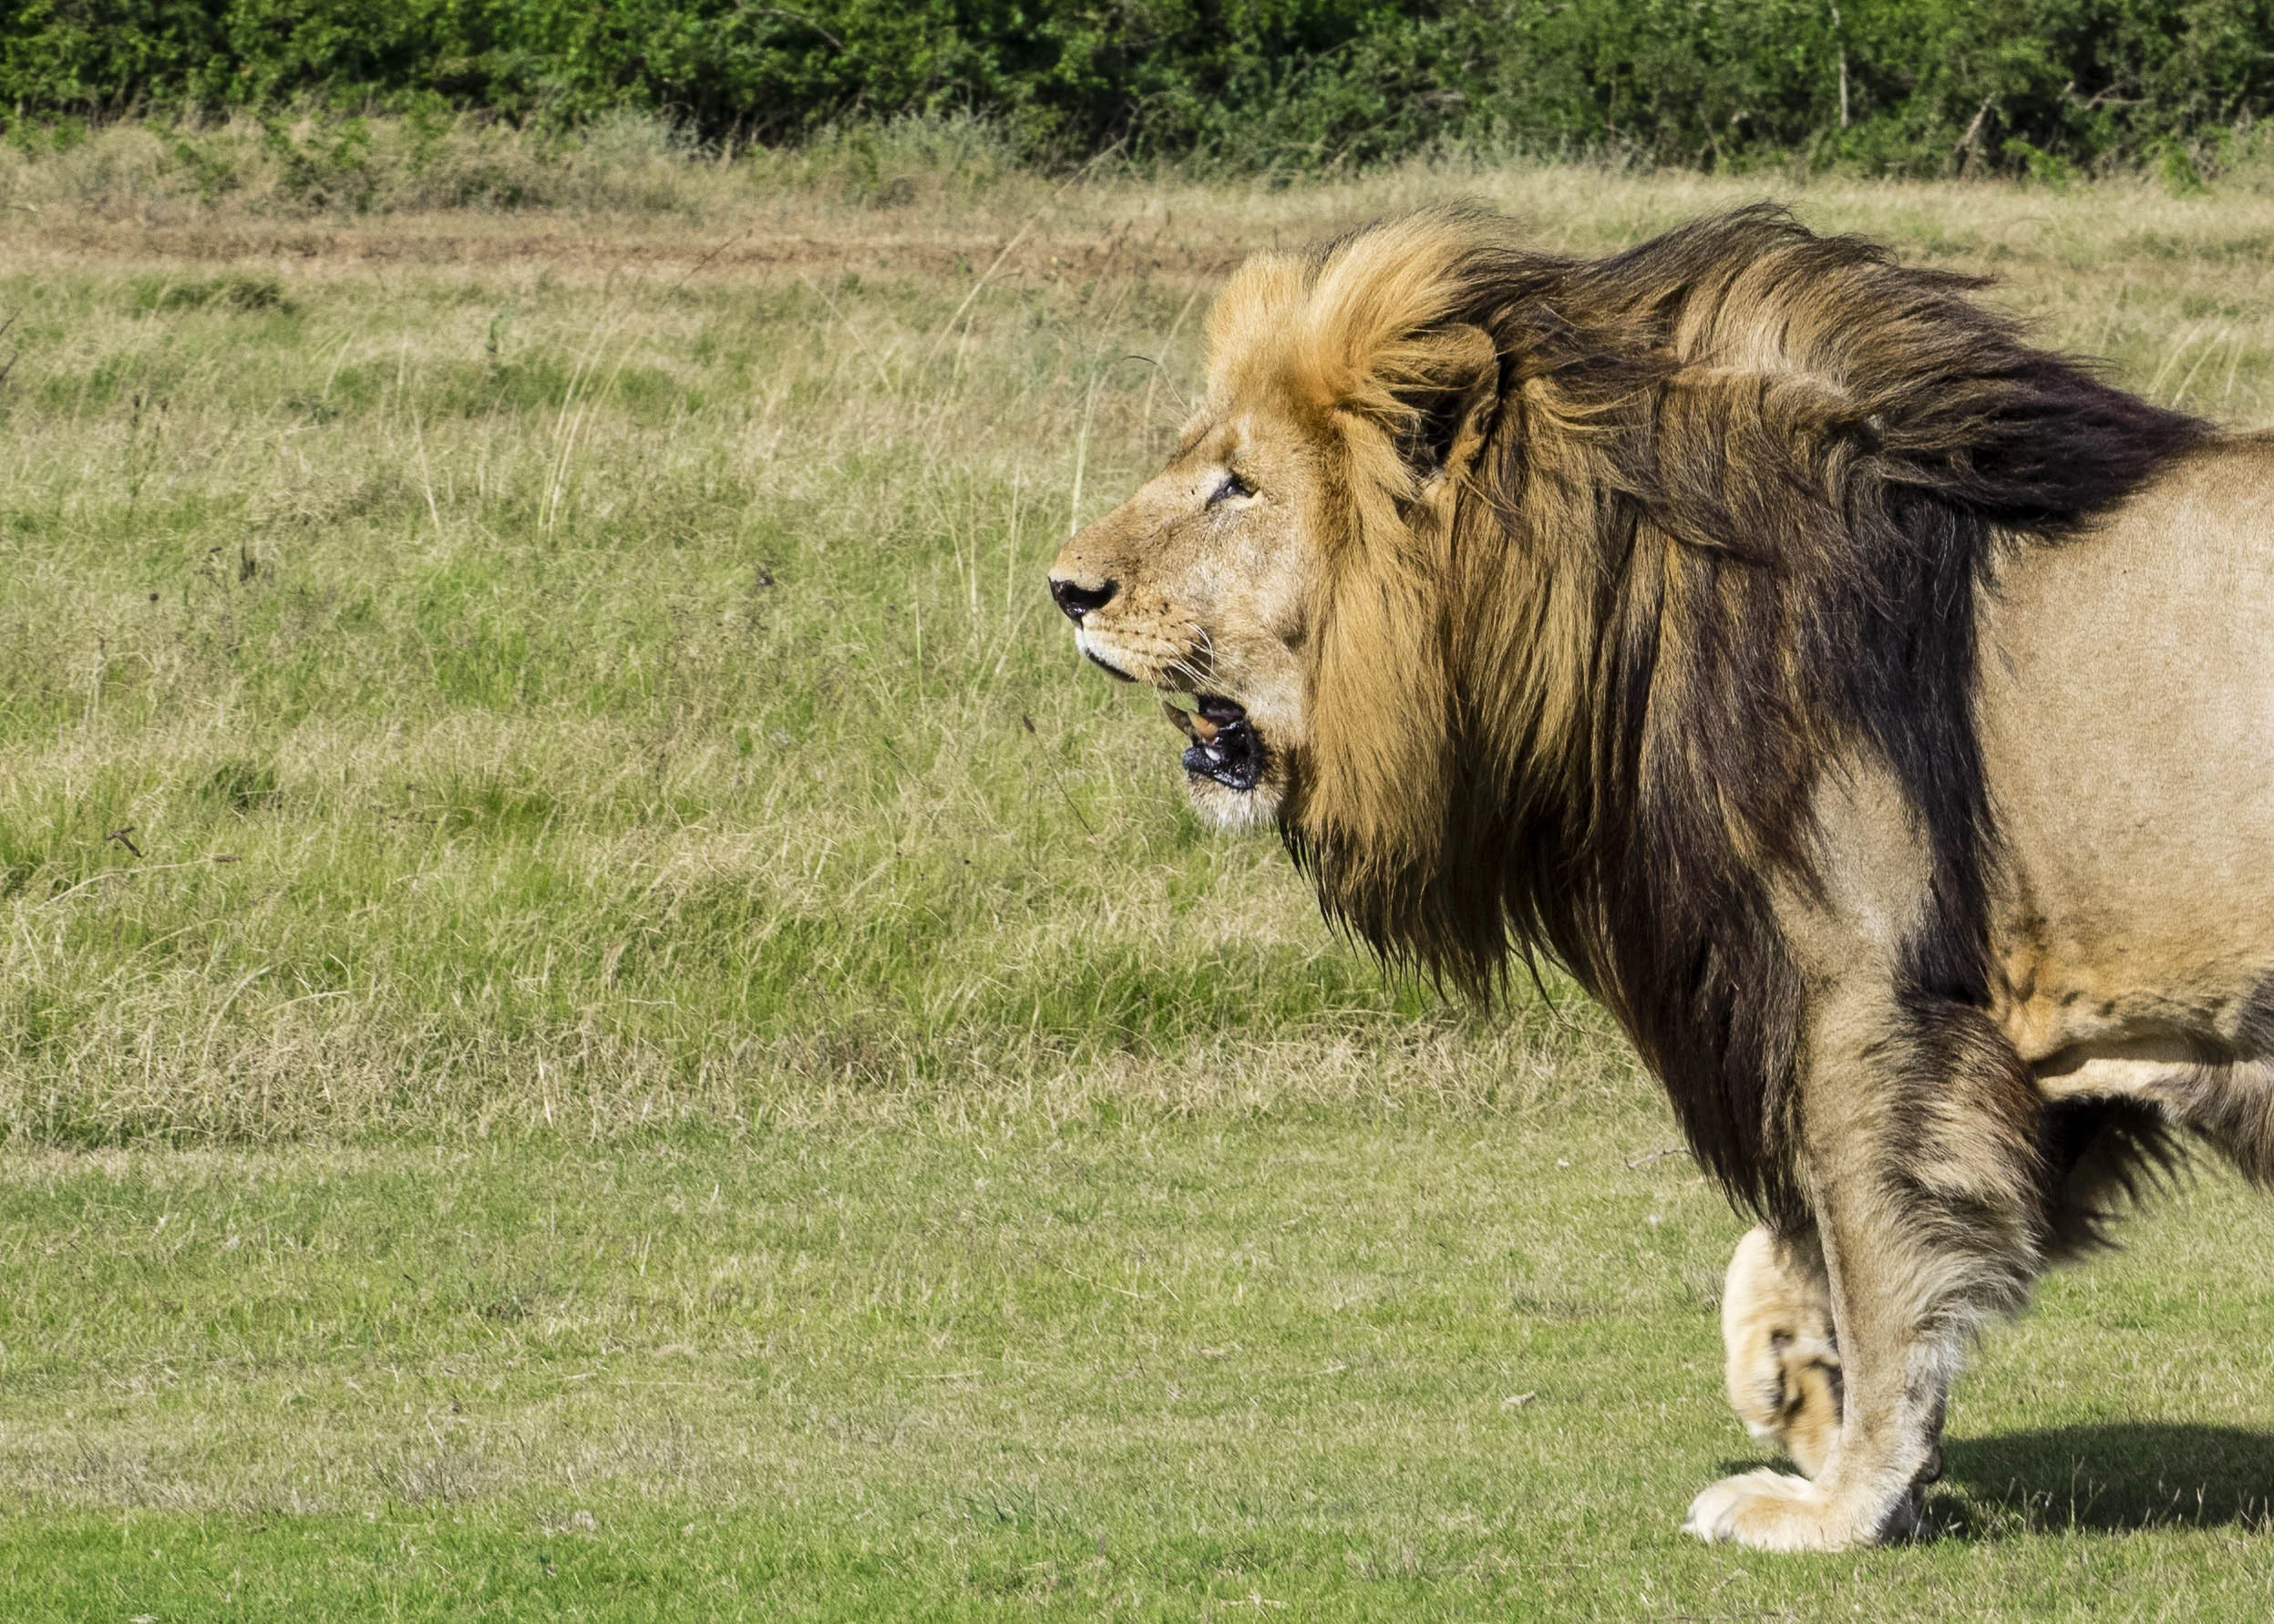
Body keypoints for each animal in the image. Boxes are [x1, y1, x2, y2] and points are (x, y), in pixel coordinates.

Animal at [1046, 202, 2271, 1550]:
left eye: (1238, 484)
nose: (1064, 589)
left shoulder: (1872, 995)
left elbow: (1880, 1253)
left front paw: (1840, 1498)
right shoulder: (2034, 1031)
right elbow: (1812, 1241)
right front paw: (1792, 1381)